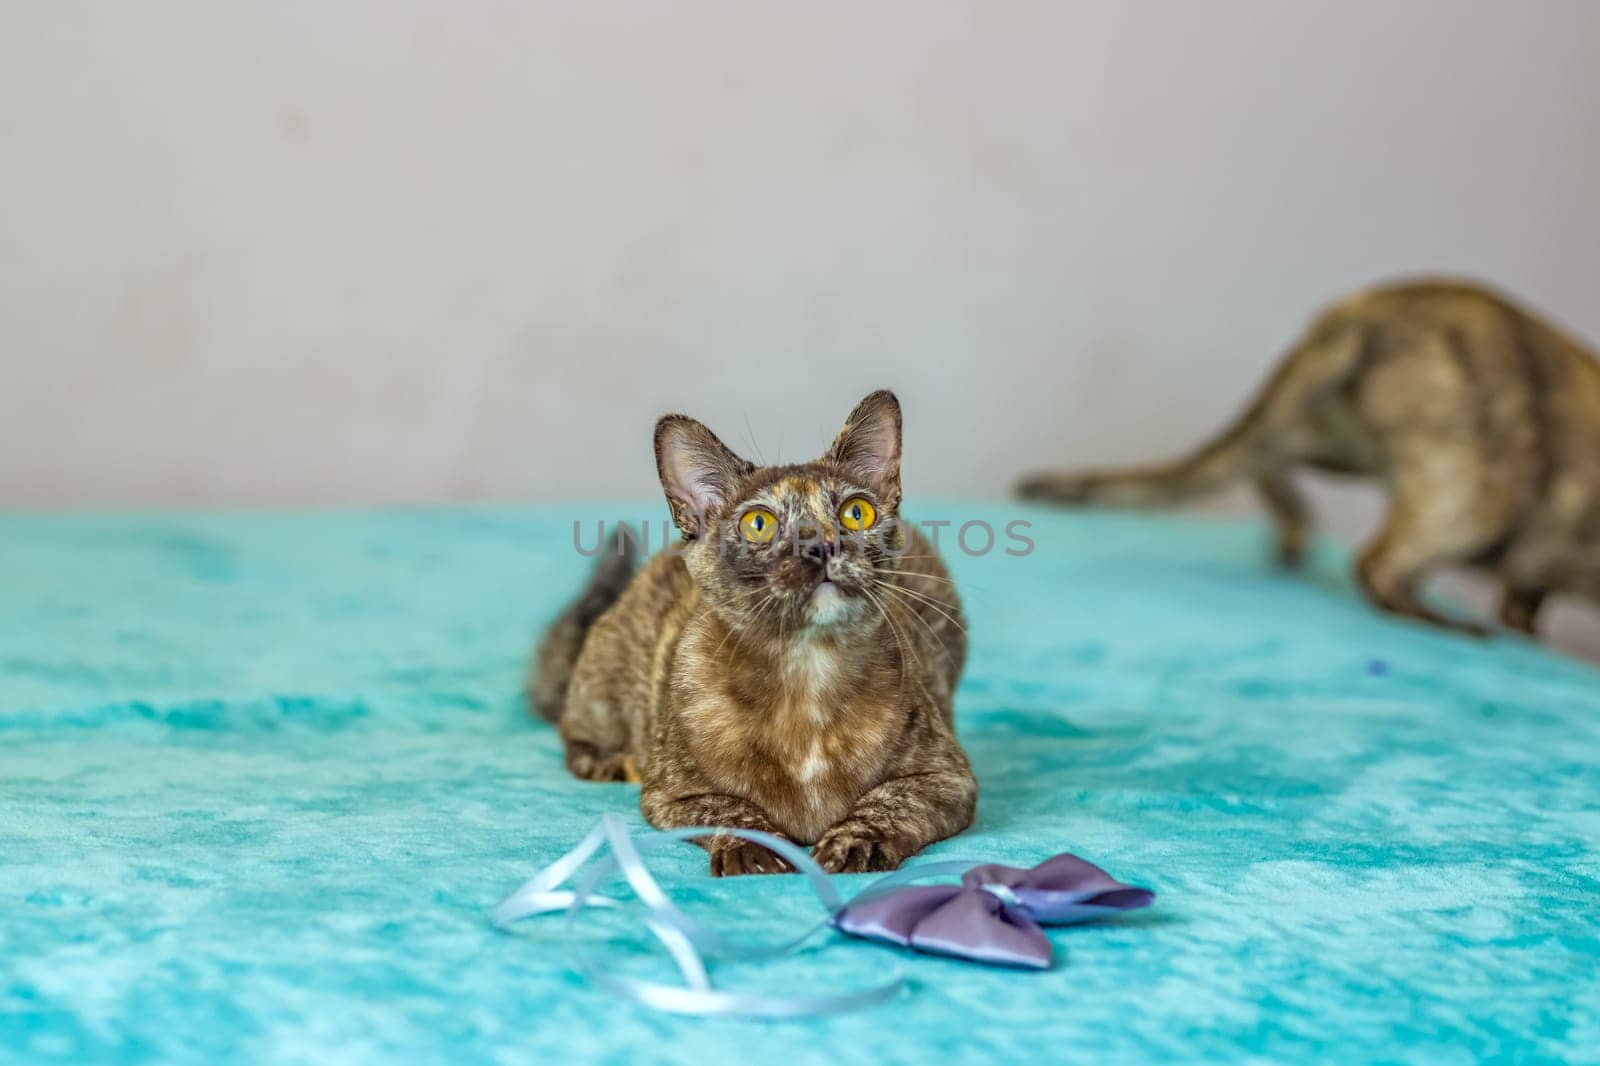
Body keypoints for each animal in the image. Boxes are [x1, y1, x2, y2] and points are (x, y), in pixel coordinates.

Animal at [528, 390, 972, 870]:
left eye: (857, 513)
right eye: (759, 524)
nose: (820, 545)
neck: (807, 676)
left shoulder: (948, 778)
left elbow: (889, 802)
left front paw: (855, 840)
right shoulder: (671, 795)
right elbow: (729, 808)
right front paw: (755, 847)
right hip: (603, 686)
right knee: (574, 735)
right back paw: (612, 762)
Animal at [1017, 278, 1600, 633]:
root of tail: (1364, 305)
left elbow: (1524, 598)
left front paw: (1525, 626)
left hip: (1338, 437)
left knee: (1266, 456)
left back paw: (1295, 533)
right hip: (1480, 484)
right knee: (1377, 560)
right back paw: (1440, 621)